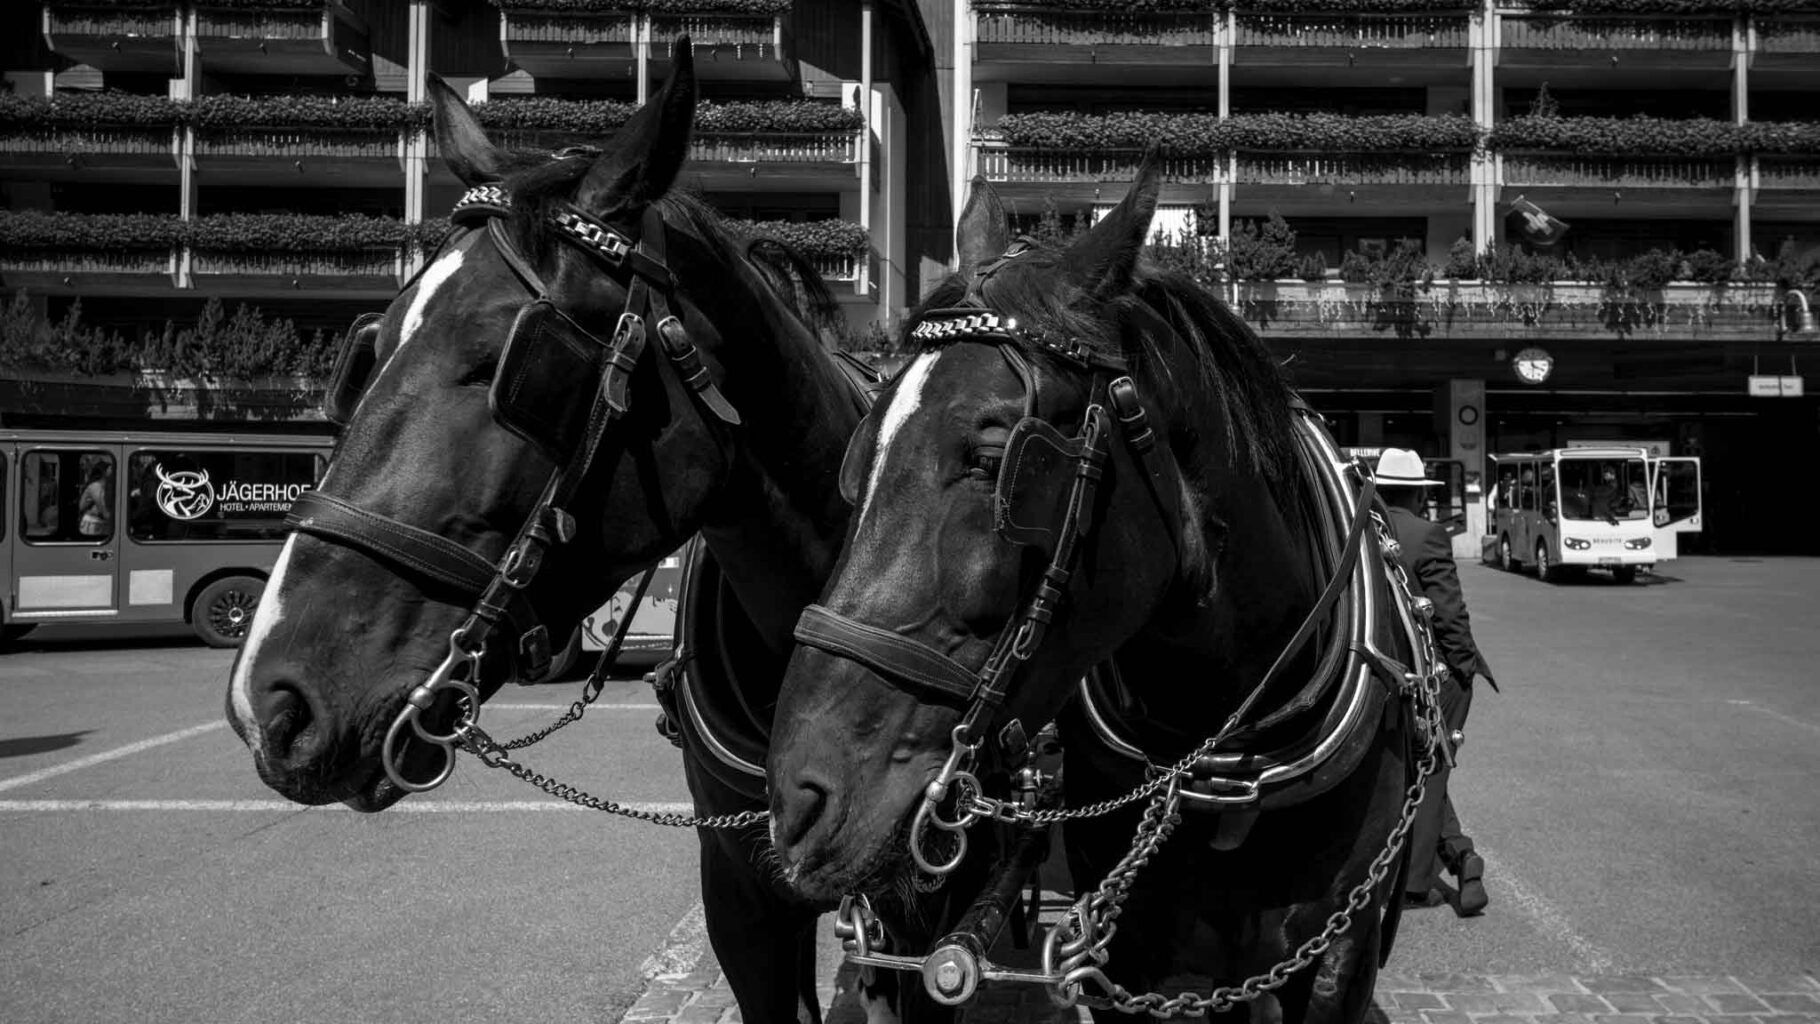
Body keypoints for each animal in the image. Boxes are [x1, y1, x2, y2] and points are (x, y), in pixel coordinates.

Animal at [764, 161, 1434, 1024]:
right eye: (862, 454)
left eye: (996, 460)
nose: (798, 799)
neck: (1229, 758)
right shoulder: (1129, 961)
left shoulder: (1339, 955)